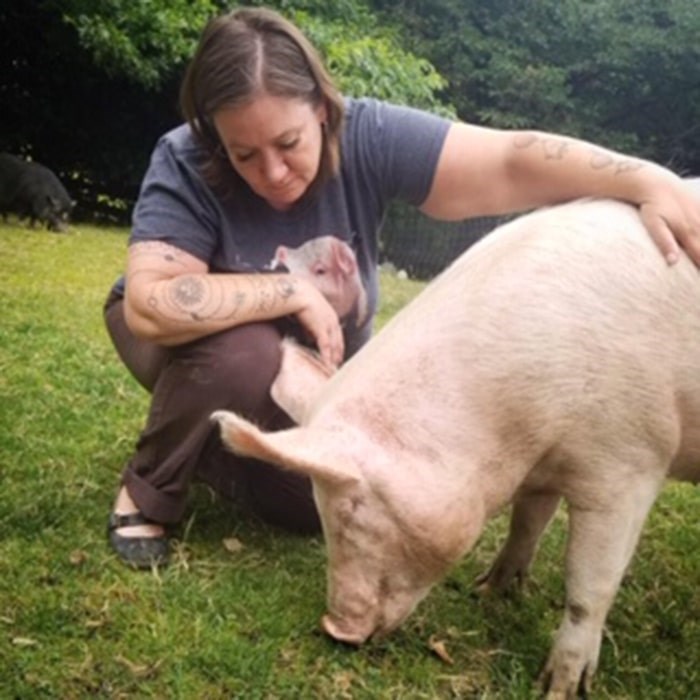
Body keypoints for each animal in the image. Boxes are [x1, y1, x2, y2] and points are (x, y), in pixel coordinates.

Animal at [213, 196, 700, 700]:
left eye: (350, 510)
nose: (335, 628)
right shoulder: (543, 468)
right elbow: (526, 526)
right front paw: (486, 592)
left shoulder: (631, 461)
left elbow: (591, 582)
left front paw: (556, 688)